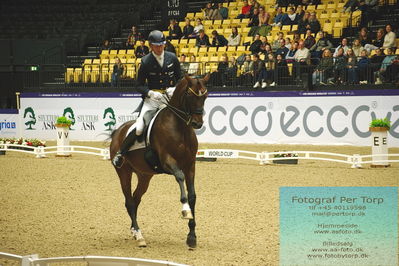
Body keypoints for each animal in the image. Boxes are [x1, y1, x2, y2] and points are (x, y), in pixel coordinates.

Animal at [109, 74, 209, 248]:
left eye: (205, 96)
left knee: (135, 199)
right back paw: (139, 236)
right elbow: (180, 178)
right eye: (190, 95)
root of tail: (118, 131)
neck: (180, 128)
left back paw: (134, 231)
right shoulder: (168, 161)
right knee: (129, 201)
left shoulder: (190, 165)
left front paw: (191, 236)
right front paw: (185, 210)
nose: (197, 123)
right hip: (124, 172)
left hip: (144, 175)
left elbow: (193, 196)